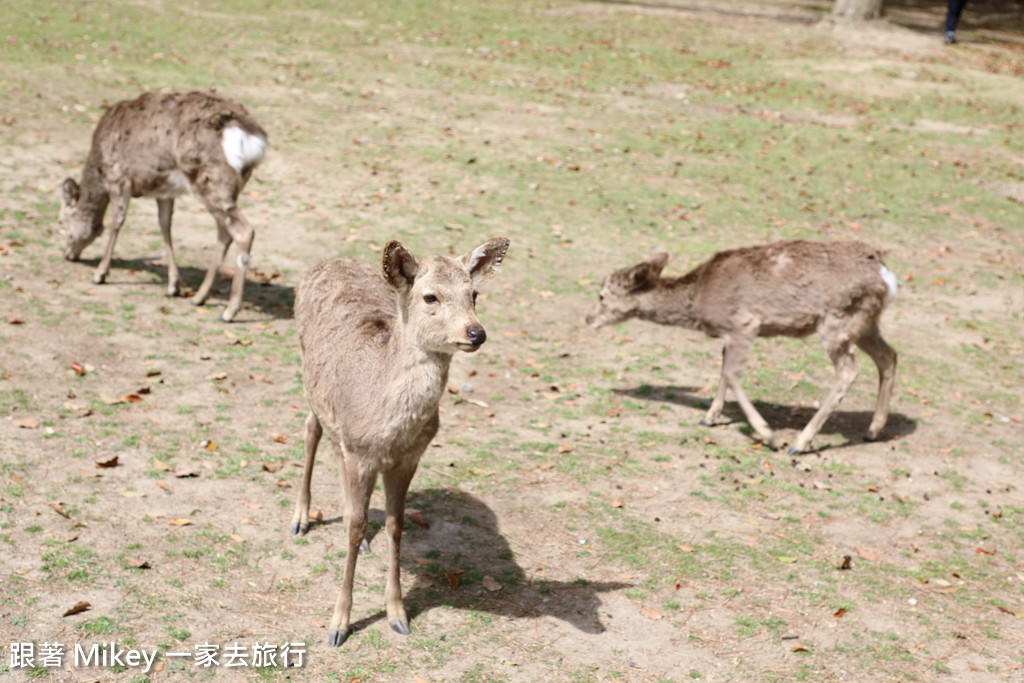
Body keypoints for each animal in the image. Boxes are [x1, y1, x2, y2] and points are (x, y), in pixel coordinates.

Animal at [58, 90, 268, 323]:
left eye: (60, 222)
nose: (67, 254)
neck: (98, 166)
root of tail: (253, 139)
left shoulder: (118, 177)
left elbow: (116, 222)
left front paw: (99, 274)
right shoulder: (164, 191)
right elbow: (165, 225)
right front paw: (173, 285)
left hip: (210, 180)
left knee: (243, 230)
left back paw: (229, 311)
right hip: (233, 186)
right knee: (224, 232)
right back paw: (199, 297)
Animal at [288, 236, 512, 647]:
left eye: (474, 294)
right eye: (430, 297)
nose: (476, 333)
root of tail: (328, 262)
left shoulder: (408, 457)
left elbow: (396, 525)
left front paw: (398, 615)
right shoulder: (362, 452)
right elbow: (357, 525)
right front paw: (338, 624)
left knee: (335, 448)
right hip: (308, 374)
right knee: (312, 430)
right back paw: (300, 519)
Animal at [585, 237, 897, 456]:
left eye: (601, 295)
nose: (588, 319)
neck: (699, 299)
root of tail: (886, 275)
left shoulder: (744, 324)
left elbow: (732, 373)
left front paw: (768, 435)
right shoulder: (730, 334)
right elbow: (724, 368)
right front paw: (709, 417)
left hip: (838, 319)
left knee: (849, 369)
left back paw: (799, 442)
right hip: (865, 322)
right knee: (889, 355)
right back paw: (873, 430)